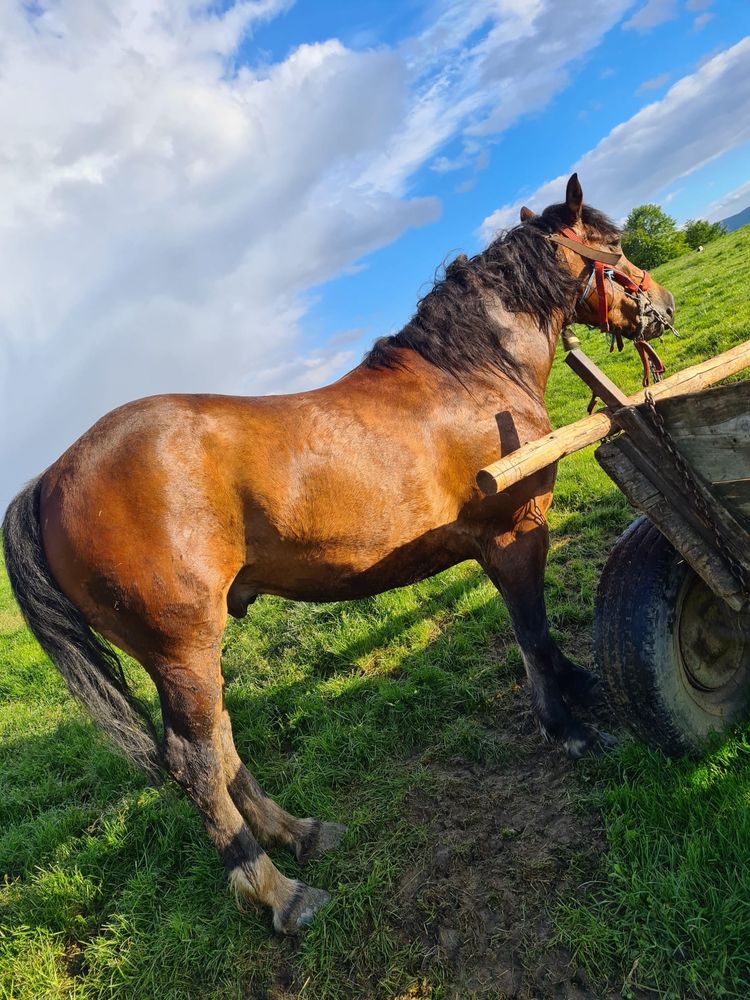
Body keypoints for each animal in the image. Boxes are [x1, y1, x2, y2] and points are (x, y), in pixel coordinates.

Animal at [2, 176, 680, 932]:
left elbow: (534, 632)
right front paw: (567, 727)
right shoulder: (515, 532)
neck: (469, 376)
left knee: (220, 742)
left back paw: (297, 832)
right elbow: (531, 632)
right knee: (195, 764)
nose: (662, 305)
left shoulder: (503, 545)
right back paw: (278, 891)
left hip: (179, 659)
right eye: (614, 246)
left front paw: (577, 685)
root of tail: (49, 478)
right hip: (181, 649)